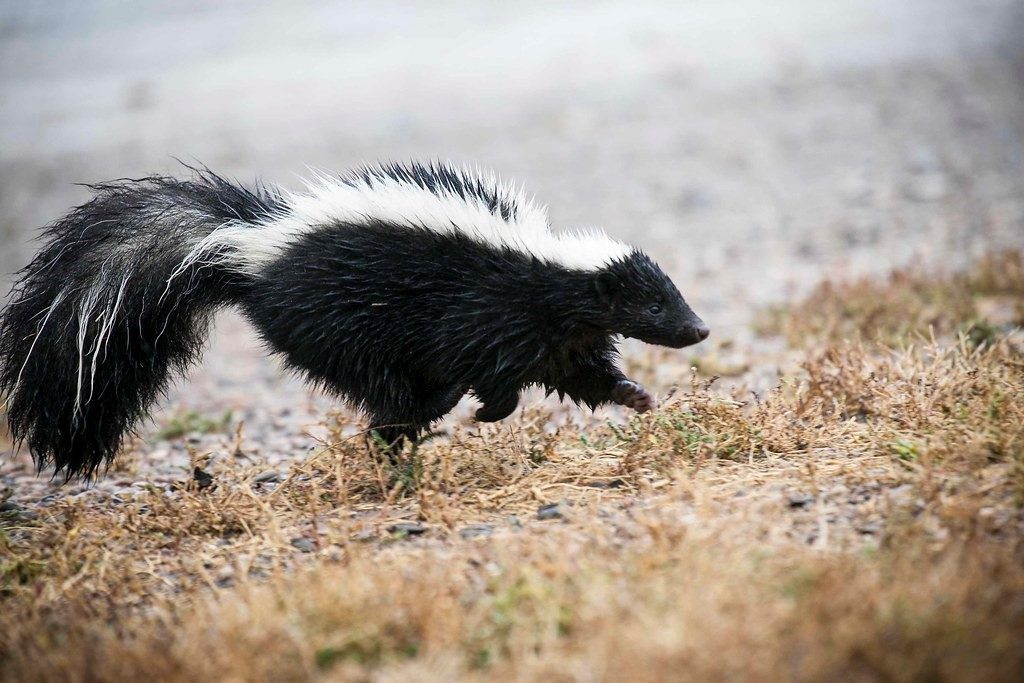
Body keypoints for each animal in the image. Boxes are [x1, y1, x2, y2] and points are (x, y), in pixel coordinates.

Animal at [0, 162, 708, 479]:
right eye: (655, 305)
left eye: (673, 297)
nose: (699, 329)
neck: (549, 270)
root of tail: (248, 245)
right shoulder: (487, 308)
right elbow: (487, 367)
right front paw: (487, 411)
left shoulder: (559, 338)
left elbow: (581, 374)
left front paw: (636, 395)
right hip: (331, 320)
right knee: (378, 378)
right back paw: (403, 426)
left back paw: (398, 436)